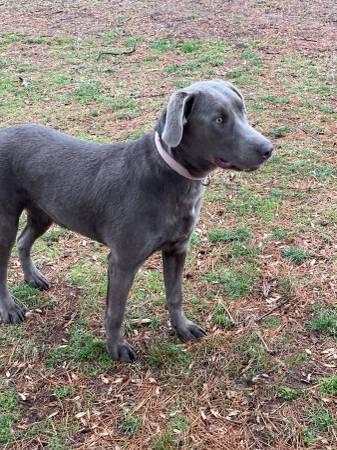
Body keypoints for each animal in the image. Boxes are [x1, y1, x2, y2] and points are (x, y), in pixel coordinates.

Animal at [0, 80, 272, 362]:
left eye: (242, 109)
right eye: (219, 119)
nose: (268, 149)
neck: (170, 176)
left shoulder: (178, 249)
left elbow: (175, 295)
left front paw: (182, 328)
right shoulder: (123, 261)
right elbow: (116, 311)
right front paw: (116, 348)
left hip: (44, 213)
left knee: (24, 240)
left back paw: (33, 278)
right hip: (5, 221)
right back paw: (9, 310)